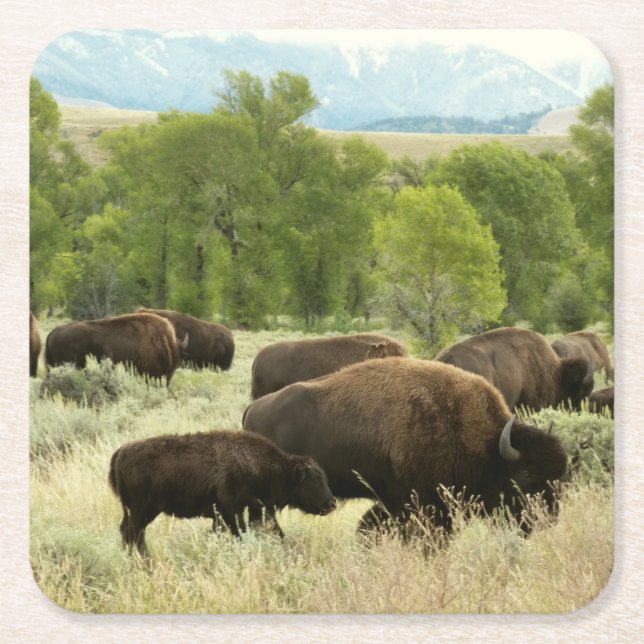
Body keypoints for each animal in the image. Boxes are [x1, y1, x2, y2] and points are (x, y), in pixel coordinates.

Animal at [108, 430, 336, 557]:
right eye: (315, 480)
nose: (332, 503)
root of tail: (121, 452)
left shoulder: (246, 510)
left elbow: (276, 532)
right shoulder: (231, 509)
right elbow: (240, 533)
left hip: (144, 511)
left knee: (133, 533)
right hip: (140, 509)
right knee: (131, 533)